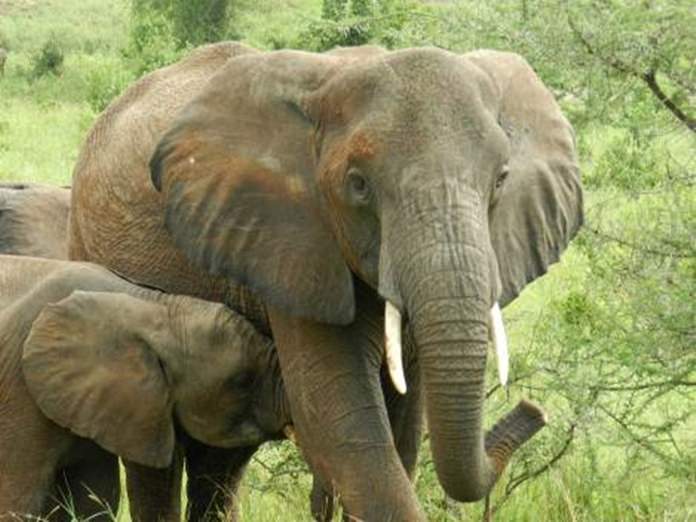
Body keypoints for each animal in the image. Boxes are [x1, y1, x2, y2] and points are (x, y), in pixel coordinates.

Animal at [70, 41, 580, 516]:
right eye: (358, 185)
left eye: (502, 179)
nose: (534, 409)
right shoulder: (289, 242)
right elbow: (343, 420)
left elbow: (405, 430)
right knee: (155, 459)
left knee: (221, 461)